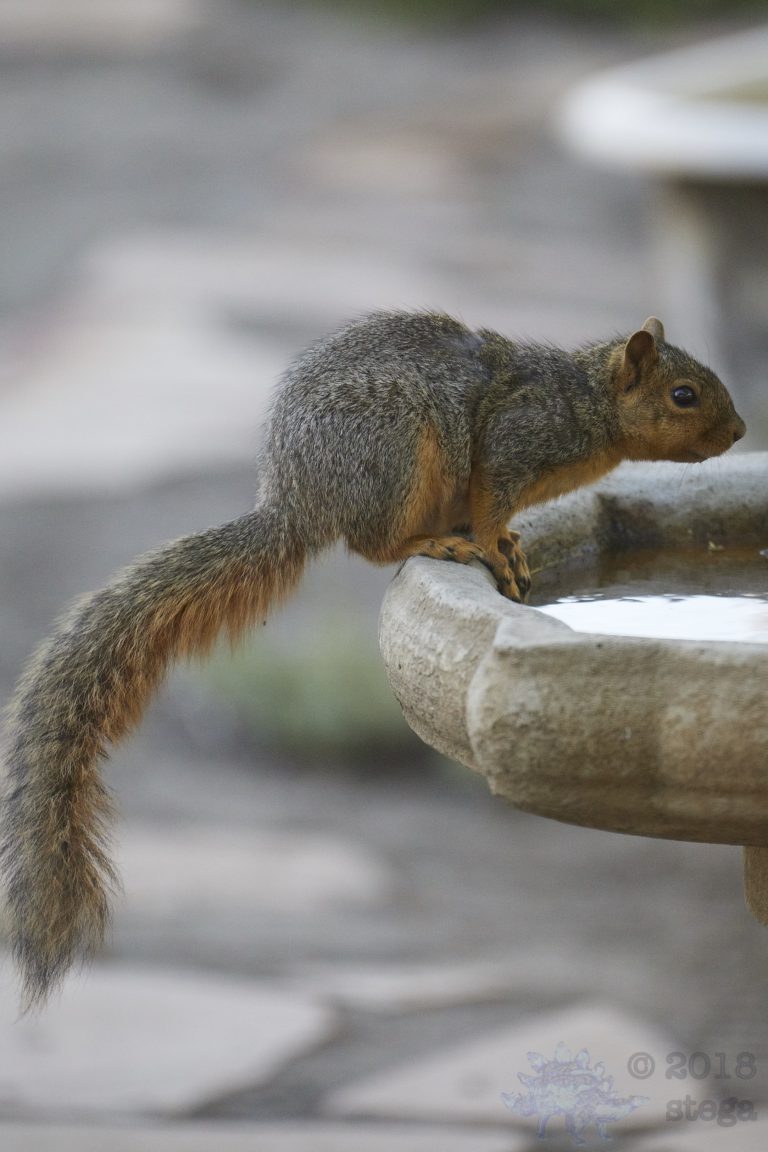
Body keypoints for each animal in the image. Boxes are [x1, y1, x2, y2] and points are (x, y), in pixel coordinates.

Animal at [1, 310, 745, 1007]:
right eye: (683, 395)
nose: (740, 432)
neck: (585, 402)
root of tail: (298, 502)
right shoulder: (514, 441)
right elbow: (490, 499)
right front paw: (498, 542)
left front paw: (512, 545)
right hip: (395, 447)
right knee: (372, 542)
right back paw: (436, 543)